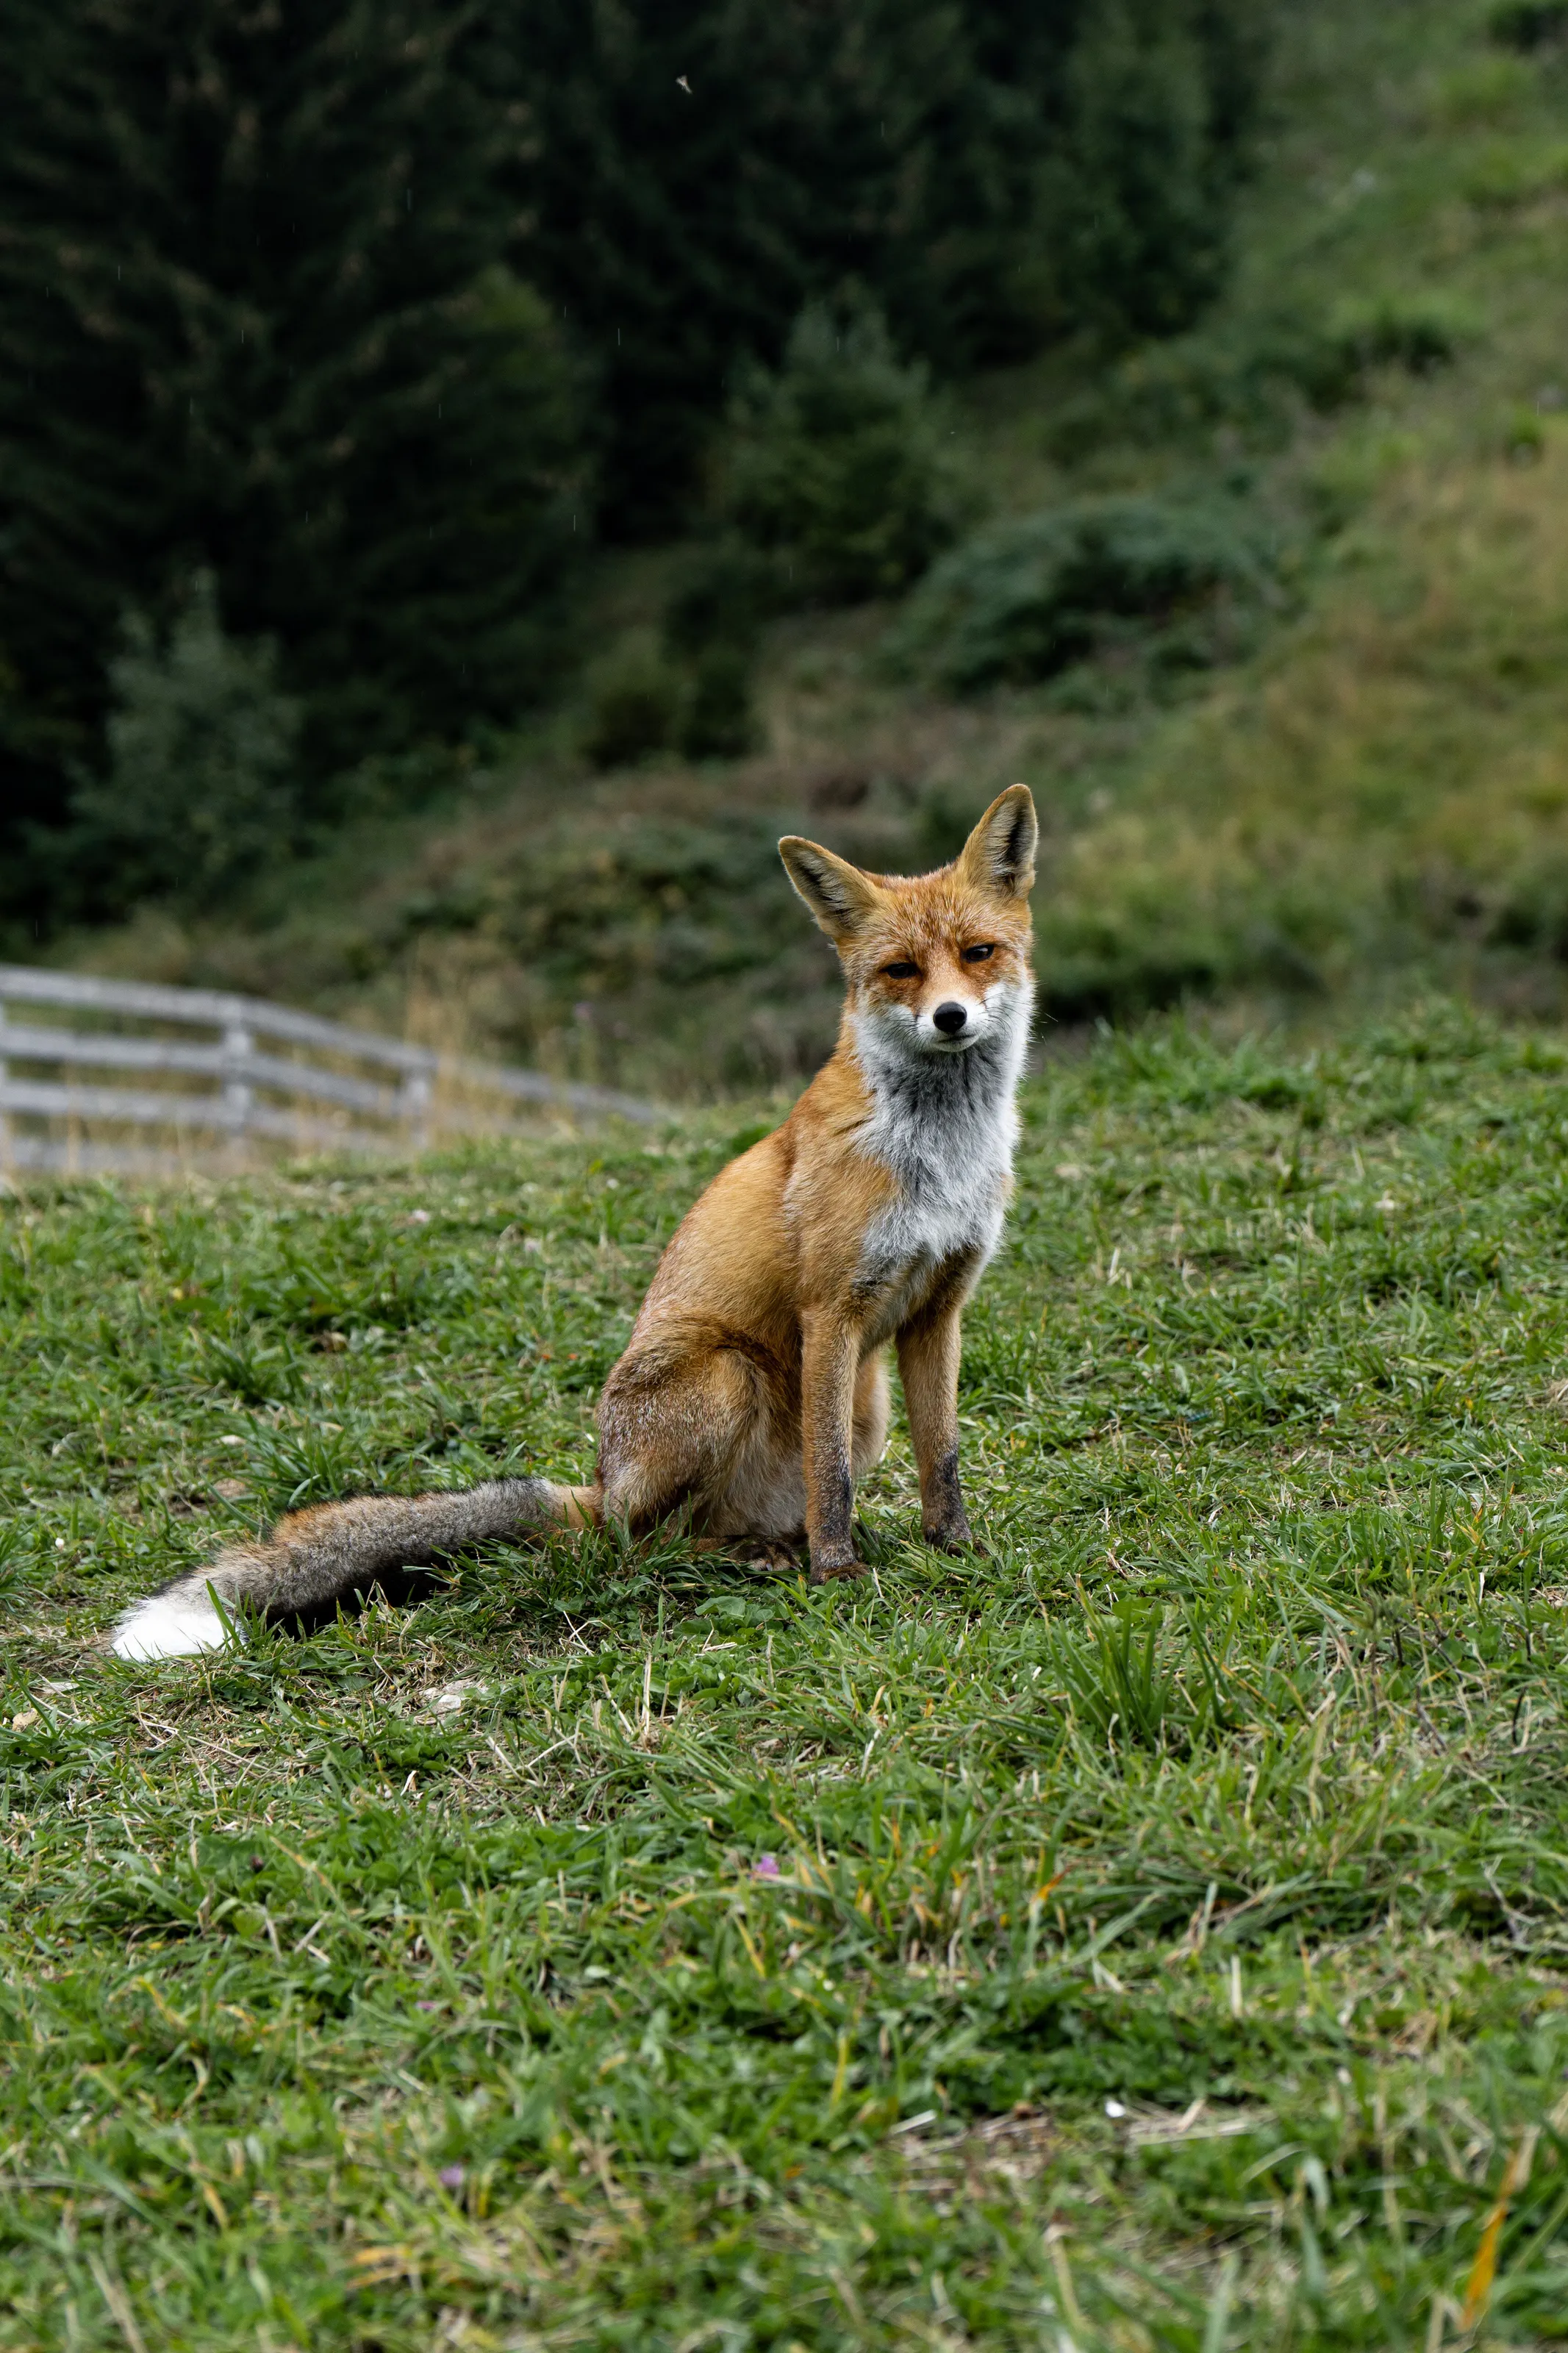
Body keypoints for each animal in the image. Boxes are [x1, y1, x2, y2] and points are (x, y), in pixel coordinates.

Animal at [110, 784, 1039, 1661]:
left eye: (977, 953)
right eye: (900, 969)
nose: (950, 1018)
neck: (938, 1155)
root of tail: (600, 1484)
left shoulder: (938, 1309)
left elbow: (943, 1455)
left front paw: (953, 1548)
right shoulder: (833, 1311)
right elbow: (833, 1477)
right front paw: (838, 1571)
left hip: (862, 1406)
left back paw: (768, 1543)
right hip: (728, 1374)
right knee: (642, 1544)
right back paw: (749, 1556)